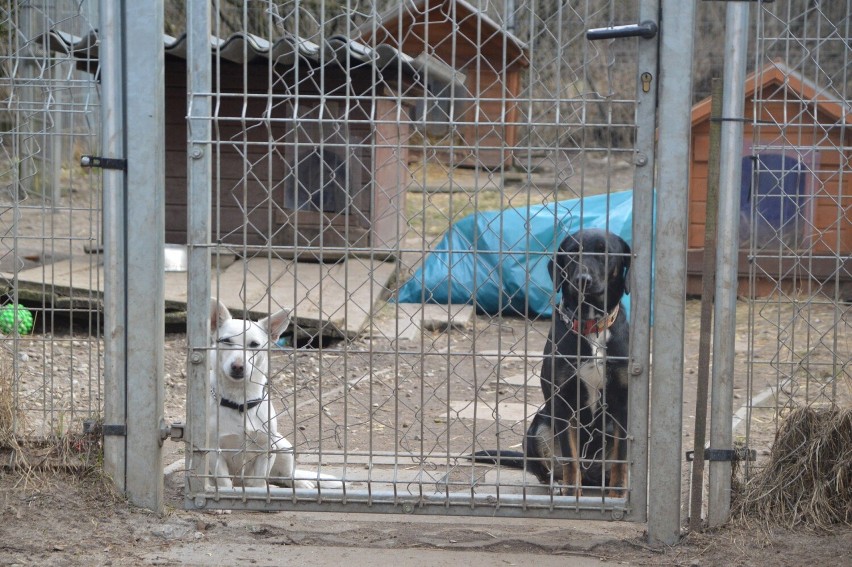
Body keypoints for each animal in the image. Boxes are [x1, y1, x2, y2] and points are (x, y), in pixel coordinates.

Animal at [206, 300, 340, 490]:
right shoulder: (214, 452)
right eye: (226, 341)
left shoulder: (266, 449)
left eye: (254, 344)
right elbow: (224, 481)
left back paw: (299, 483)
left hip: (283, 446)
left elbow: (259, 481)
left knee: (284, 476)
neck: (240, 401)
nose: (238, 366)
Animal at [476, 229, 628, 494]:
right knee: (548, 470)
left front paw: (618, 495)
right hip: (539, 426)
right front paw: (570, 495)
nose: (582, 280)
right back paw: (556, 486)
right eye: (572, 252)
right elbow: (570, 460)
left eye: (606, 252)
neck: (592, 328)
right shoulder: (562, 402)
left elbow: (620, 461)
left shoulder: (622, 401)